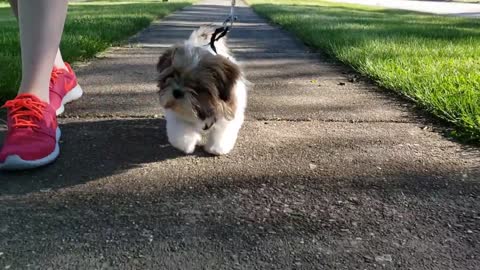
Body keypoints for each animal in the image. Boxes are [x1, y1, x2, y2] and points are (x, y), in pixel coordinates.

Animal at [157, 26, 248, 156]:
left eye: (197, 85)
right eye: (173, 75)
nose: (177, 92)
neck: (205, 106)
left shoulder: (227, 116)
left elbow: (221, 133)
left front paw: (216, 148)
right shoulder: (178, 115)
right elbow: (182, 130)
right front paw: (186, 144)